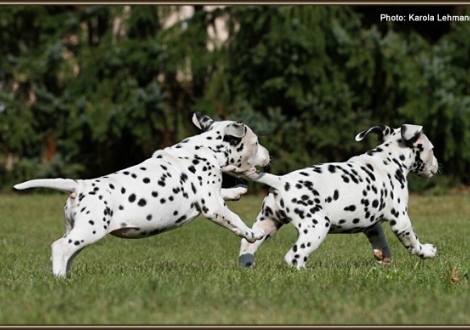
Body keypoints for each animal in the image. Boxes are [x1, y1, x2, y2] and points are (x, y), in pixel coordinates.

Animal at [13, 112, 268, 278]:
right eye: (256, 142)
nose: (268, 155)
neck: (204, 149)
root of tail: (79, 187)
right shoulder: (212, 206)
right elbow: (234, 219)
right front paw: (253, 233)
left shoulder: (210, 196)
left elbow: (223, 193)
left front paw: (236, 191)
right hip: (90, 230)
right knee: (59, 247)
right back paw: (59, 279)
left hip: (77, 230)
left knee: (67, 252)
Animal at [241, 125, 438, 270]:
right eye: (432, 149)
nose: (437, 166)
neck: (388, 159)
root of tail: (281, 181)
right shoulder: (401, 221)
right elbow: (414, 243)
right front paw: (428, 251)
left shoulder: (372, 226)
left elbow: (381, 244)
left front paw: (384, 260)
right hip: (317, 226)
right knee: (294, 257)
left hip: (266, 224)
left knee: (247, 247)